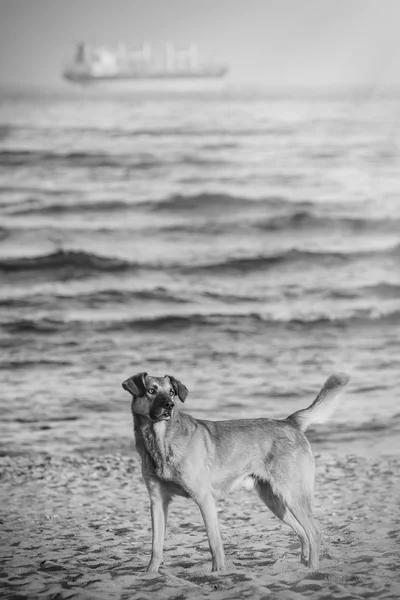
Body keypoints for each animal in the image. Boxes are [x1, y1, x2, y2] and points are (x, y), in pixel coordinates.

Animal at [122, 370, 350, 572]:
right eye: (151, 390)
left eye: (171, 392)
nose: (169, 406)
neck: (160, 440)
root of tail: (289, 422)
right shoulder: (157, 502)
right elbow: (156, 546)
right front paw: (150, 573)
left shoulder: (204, 498)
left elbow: (214, 542)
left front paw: (218, 572)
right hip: (275, 501)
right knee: (303, 533)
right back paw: (303, 564)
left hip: (293, 495)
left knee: (314, 533)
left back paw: (312, 569)